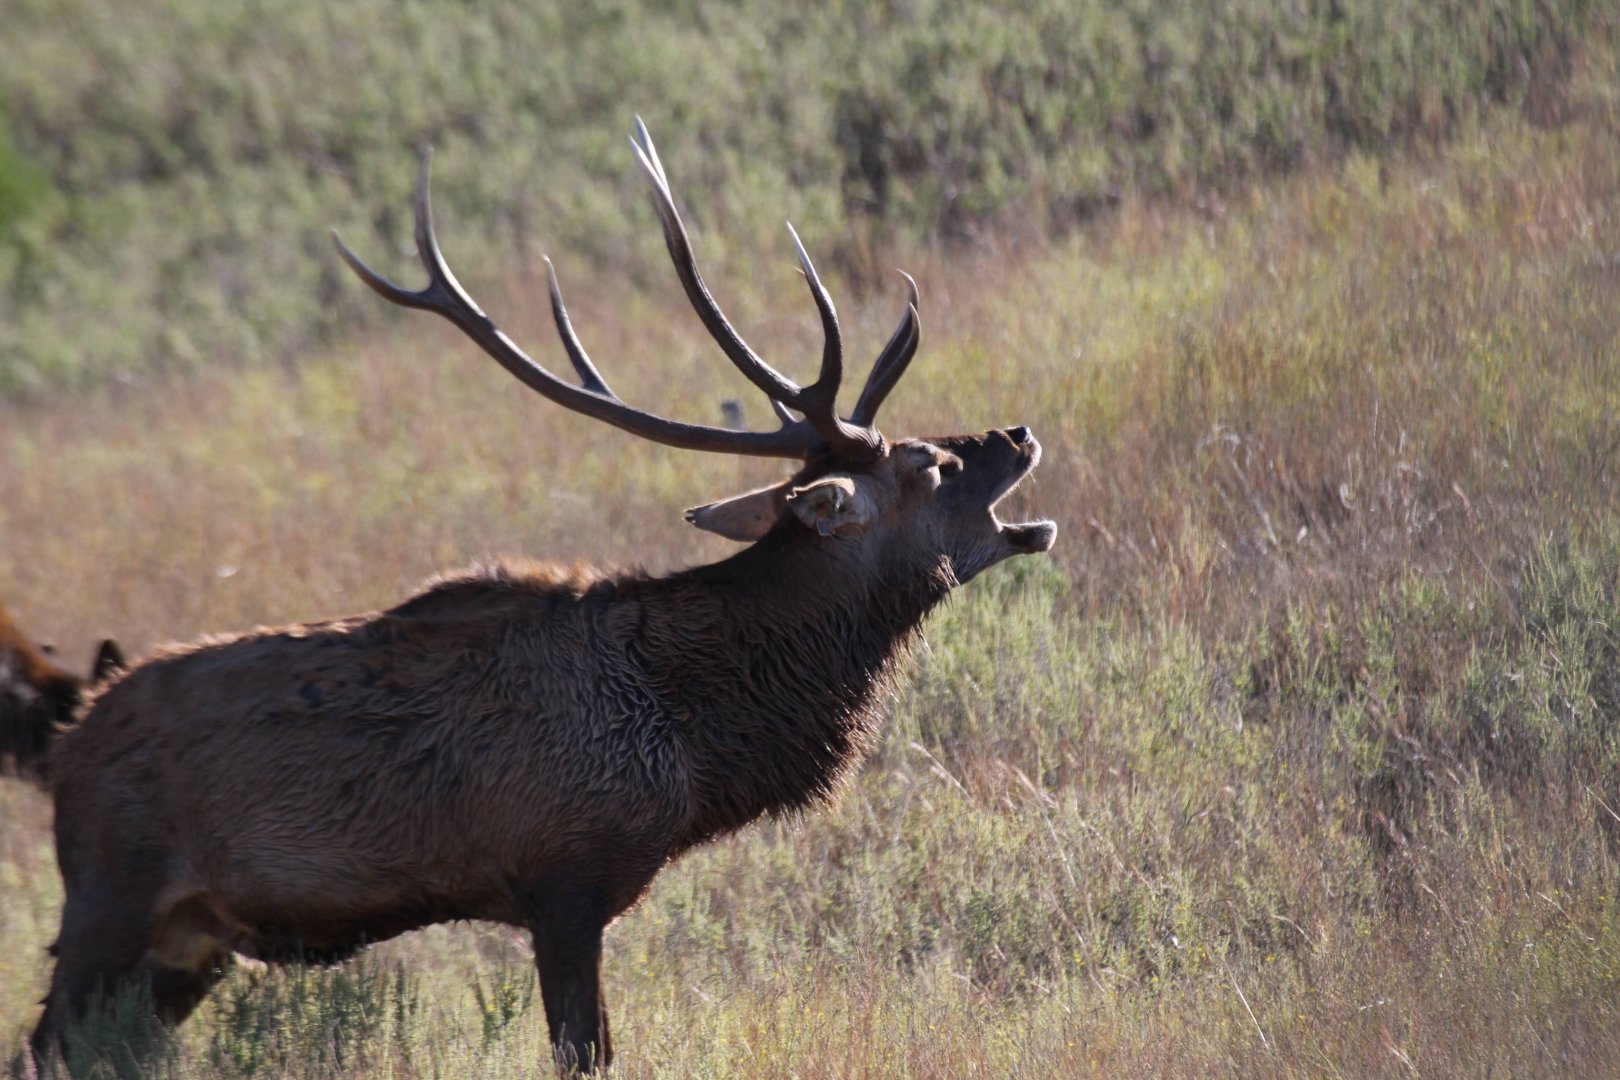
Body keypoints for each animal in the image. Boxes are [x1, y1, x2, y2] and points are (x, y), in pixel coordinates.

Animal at [31, 120, 1054, 1074]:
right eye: (931, 462)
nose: (1018, 431)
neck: (694, 743)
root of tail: (64, 746)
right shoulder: (563, 876)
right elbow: (585, 1050)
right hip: (109, 897)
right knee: (41, 1042)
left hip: (188, 945)